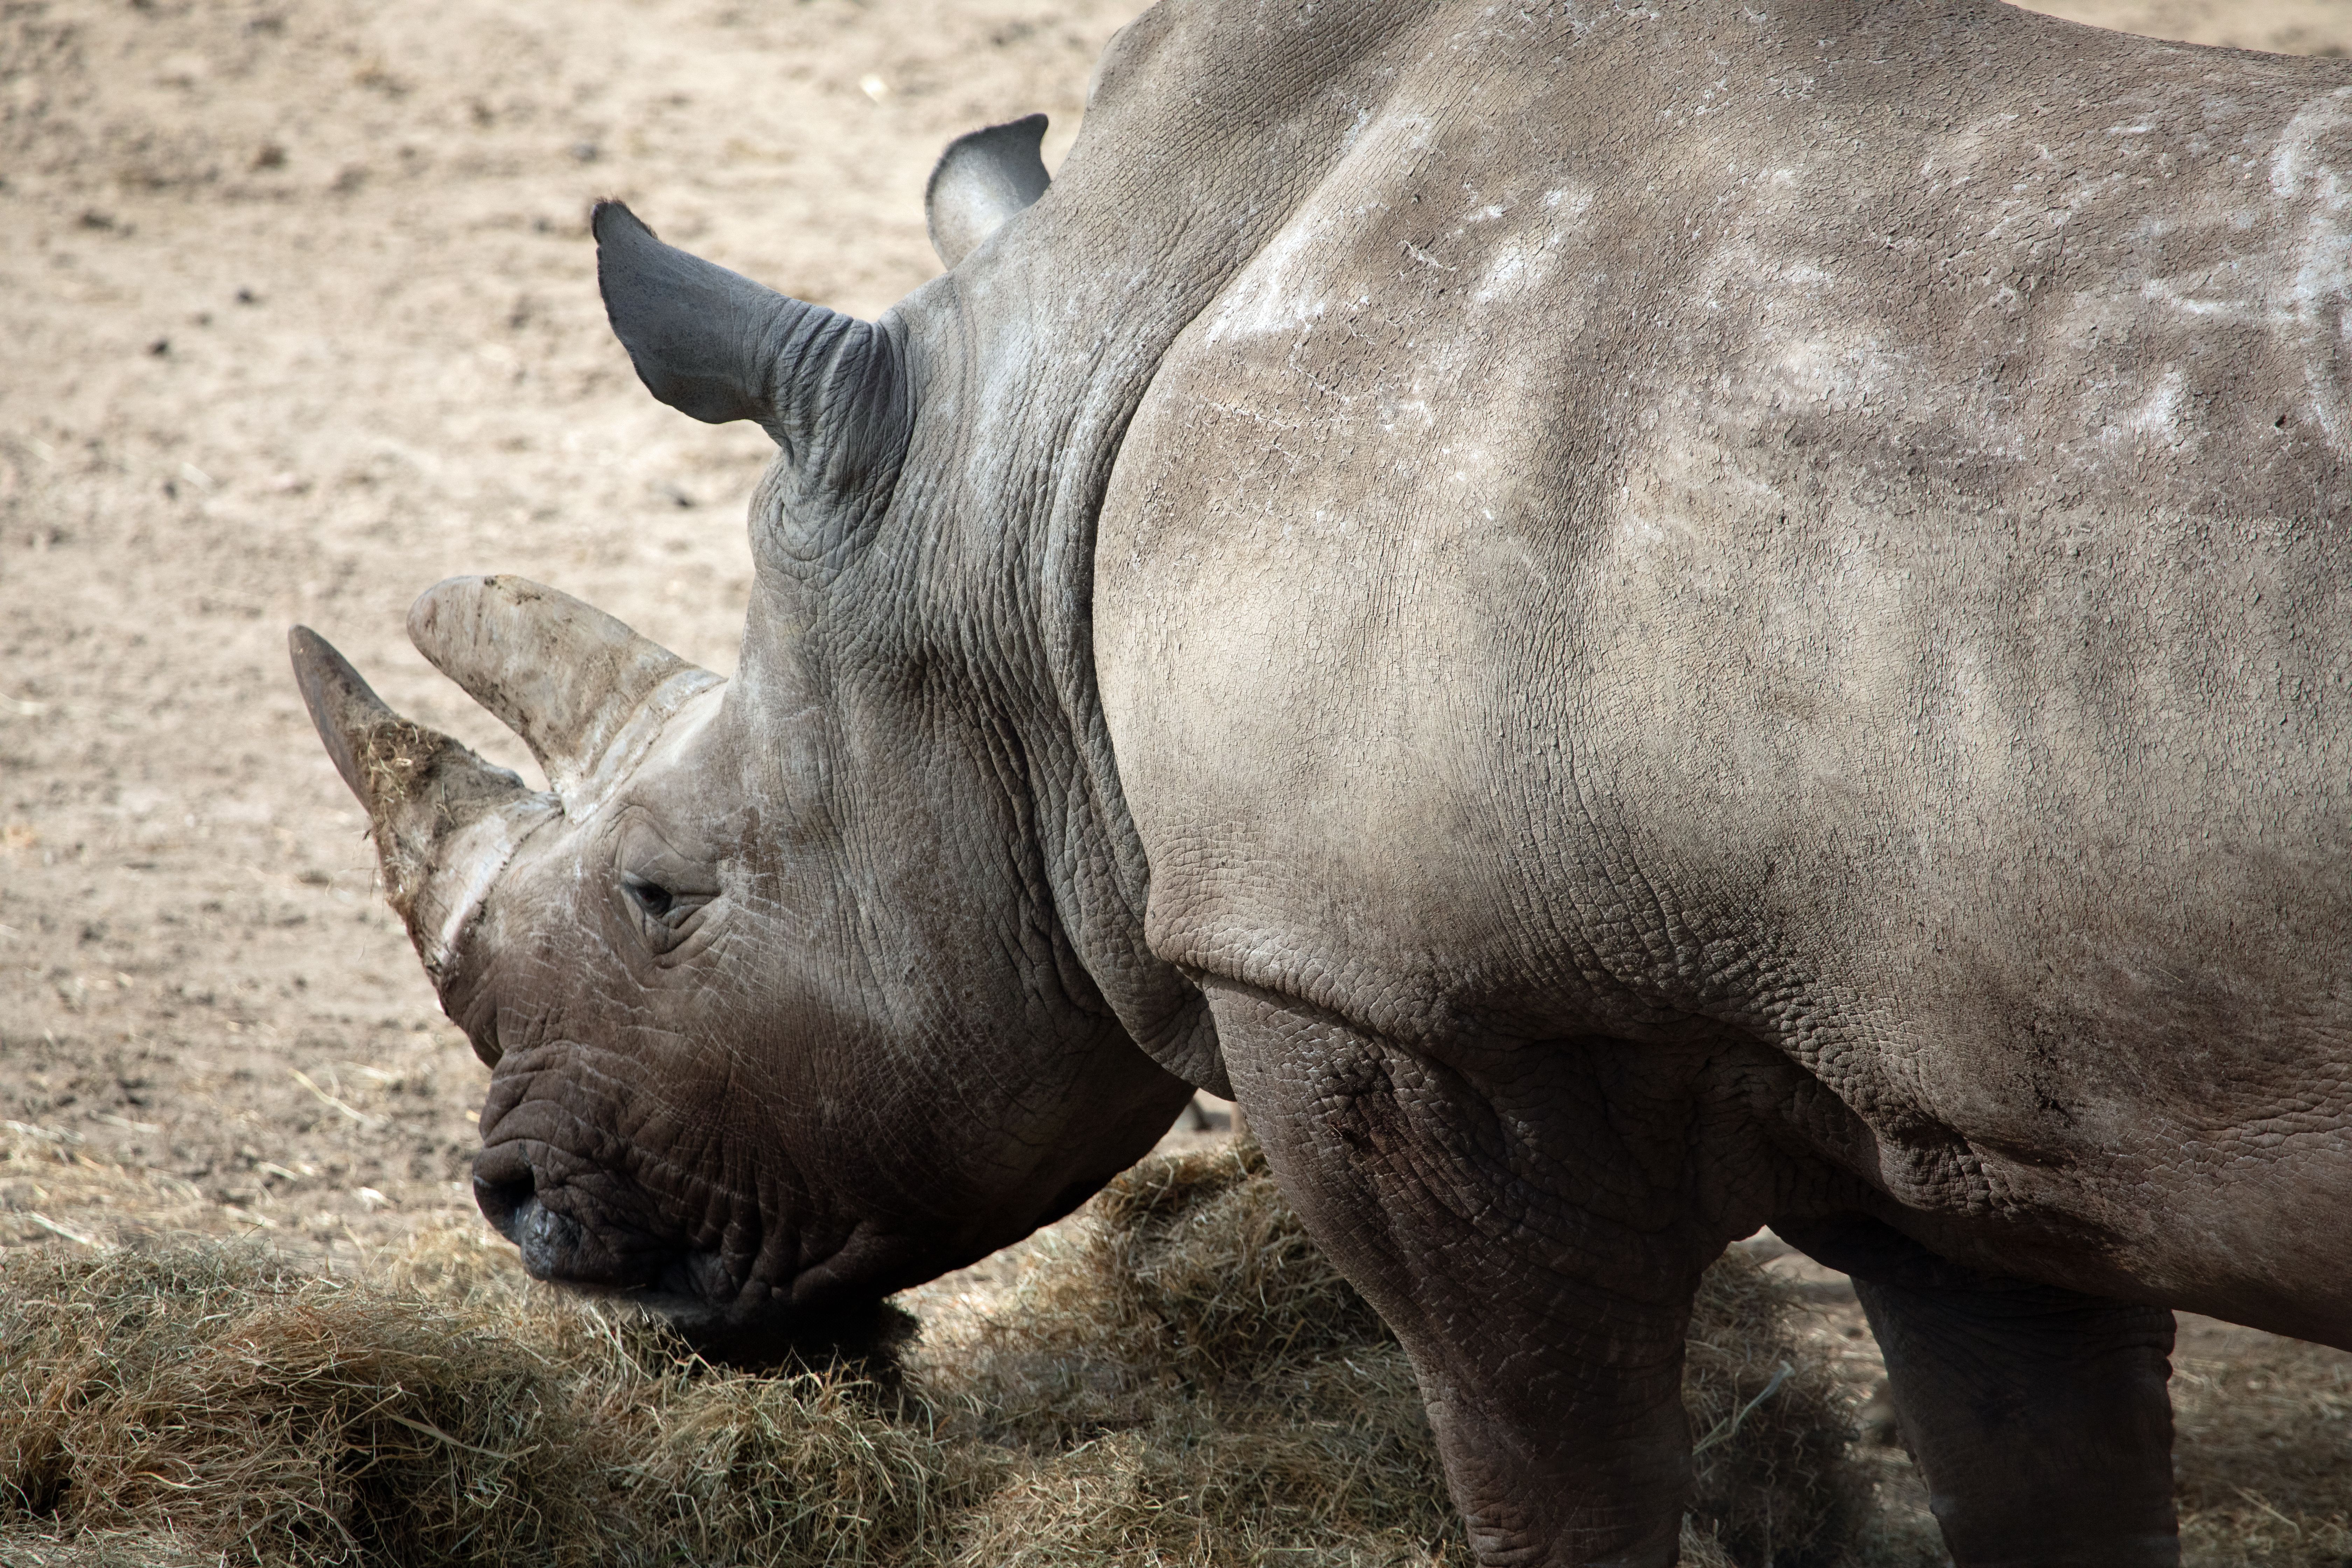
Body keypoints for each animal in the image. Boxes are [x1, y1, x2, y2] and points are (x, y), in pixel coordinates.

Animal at [291, 0, 2352, 1560]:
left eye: (667, 894)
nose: (516, 1202)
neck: (1025, 494)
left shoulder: (1398, 997)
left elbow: (1557, 1485)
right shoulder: (1942, 1079)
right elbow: (2046, 1480)